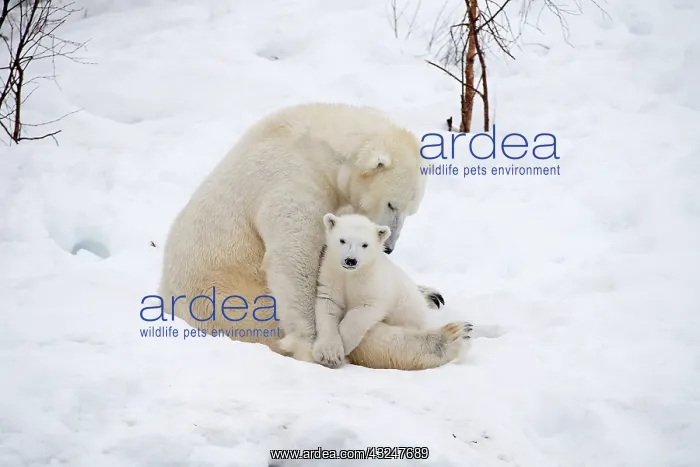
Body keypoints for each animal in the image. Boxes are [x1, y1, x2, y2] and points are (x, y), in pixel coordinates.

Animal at [158, 103, 449, 369]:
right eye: (392, 204)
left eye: (411, 211)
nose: (388, 247)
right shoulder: (292, 177)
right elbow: (295, 257)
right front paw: (314, 346)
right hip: (230, 296)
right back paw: (443, 339)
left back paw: (431, 297)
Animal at [310, 212, 472, 370]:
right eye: (342, 240)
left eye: (365, 244)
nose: (351, 260)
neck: (351, 276)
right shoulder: (331, 277)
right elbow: (328, 307)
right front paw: (329, 354)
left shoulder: (375, 285)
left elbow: (362, 312)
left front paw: (344, 343)